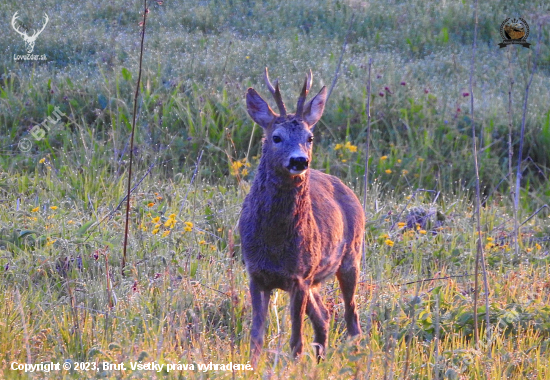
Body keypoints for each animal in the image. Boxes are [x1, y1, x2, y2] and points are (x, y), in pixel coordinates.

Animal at [242, 68, 366, 366]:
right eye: (276, 137)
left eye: (309, 137)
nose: (299, 161)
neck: (274, 243)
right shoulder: (256, 273)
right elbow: (256, 336)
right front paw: (253, 366)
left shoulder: (299, 276)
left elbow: (296, 340)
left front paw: (294, 366)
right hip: (315, 280)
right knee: (324, 316)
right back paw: (320, 359)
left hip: (350, 258)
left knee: (351, 316)